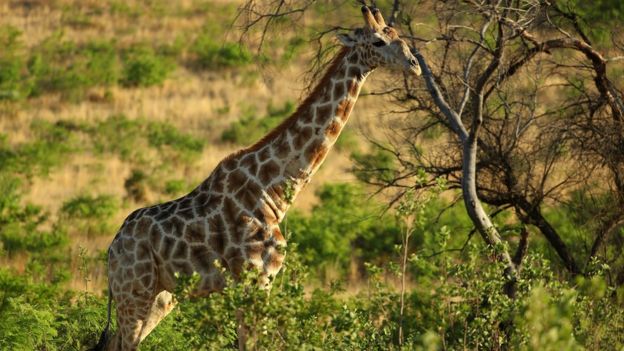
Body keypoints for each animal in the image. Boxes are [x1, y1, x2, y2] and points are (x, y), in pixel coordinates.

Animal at [92, 6, 422, 351]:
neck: (273, 189)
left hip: (161, 296)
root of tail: (112, 248)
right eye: (378, 41)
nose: (414, 66)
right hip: (135, 291)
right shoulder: (253, 280)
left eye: (400, 37)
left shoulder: (260, 283)